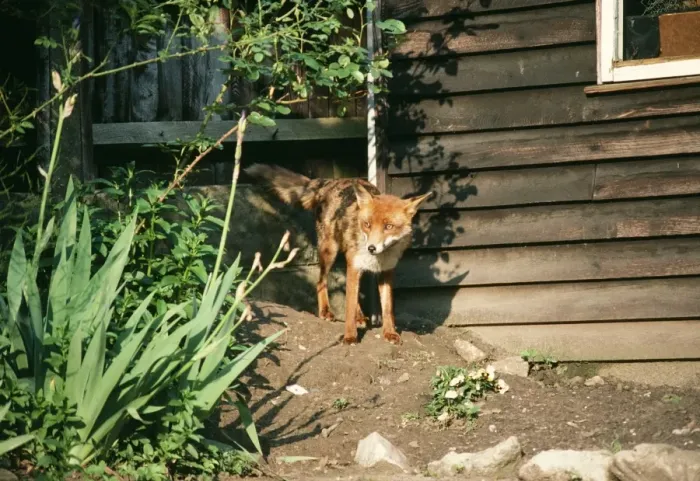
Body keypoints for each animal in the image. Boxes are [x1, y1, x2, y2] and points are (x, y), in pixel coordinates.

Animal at [245, 163, 433, 345]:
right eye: (367, 224)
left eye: (389, 226)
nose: (371, 248)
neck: (381, 258)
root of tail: (331, 182)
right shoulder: (354, 265)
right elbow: (348, 307)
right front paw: (350, 336)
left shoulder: (385, 272)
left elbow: (387, 309)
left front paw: (390, 333)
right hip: (330, 252)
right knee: (321, 282)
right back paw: (325, 312)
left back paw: (359, 316)